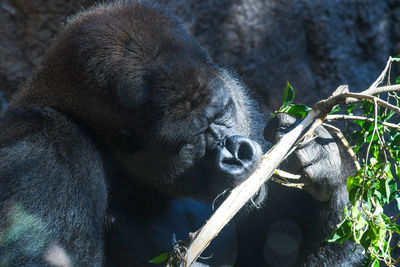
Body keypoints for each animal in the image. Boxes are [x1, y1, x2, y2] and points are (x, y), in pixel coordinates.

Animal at [0, 0, 362, 267]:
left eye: (223, 111)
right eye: (190, 139)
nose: (237, 153)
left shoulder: (235, 90)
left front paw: (321, 164)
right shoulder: (46, 154)